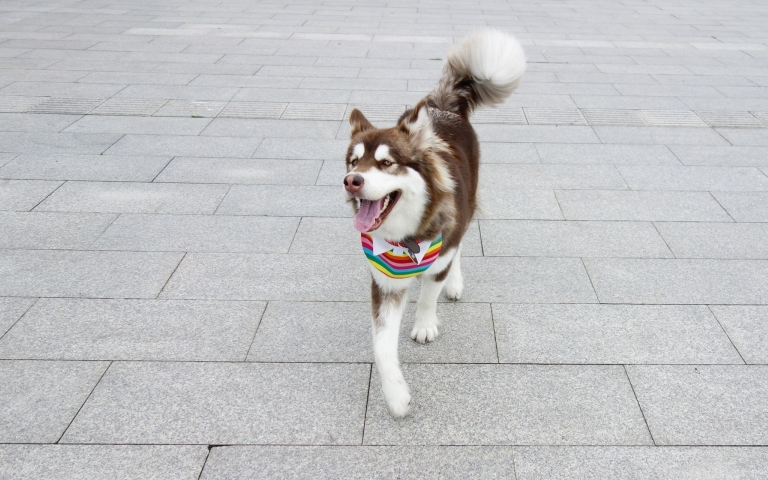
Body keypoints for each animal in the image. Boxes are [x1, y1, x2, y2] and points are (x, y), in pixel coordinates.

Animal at [344, 30, 528, 416]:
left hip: (464, 207)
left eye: (386, 163)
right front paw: (396, 396)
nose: (351, 181)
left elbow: (430, 291)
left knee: (458, 246)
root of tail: (442, 104)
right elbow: (382, 346)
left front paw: (426, 323)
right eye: (353, 162)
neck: (408, 237)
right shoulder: (385, 281)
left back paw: (454, 283)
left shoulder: (440, 246)